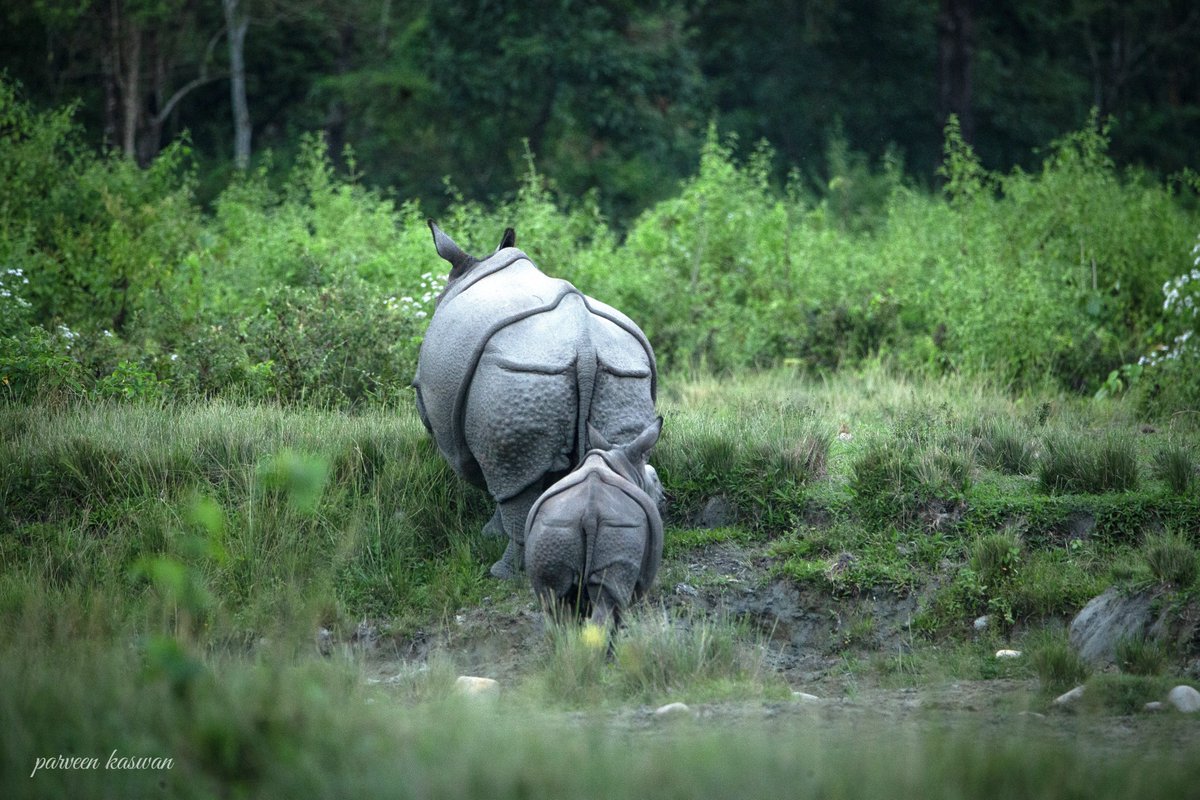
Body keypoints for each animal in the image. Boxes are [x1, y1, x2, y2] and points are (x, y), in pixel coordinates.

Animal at [413, 222, 658, 579]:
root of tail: (585, 345)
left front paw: (489, 534)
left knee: (515, 483)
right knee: (622, 455)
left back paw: (503, 573)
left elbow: (493, 479)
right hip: (621, 373)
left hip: (520, 374)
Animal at [524, 418, 664, 627]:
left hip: (554, 529)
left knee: (553, 600)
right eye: (655, 479)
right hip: (622, 528)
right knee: (609, 602)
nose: (662, 497)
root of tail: (590, 512)